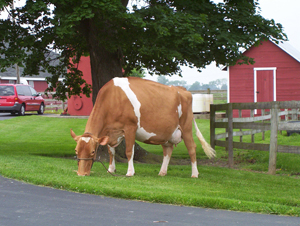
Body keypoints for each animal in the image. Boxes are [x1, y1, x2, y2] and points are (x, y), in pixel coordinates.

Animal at [70, 77, 216, 177]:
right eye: (76, 151)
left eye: (92, 152)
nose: (81, 174)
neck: (113, 98)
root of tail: (183, 89)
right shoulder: (110, 132)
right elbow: (111, 151)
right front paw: (111, 170)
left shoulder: (130, 127)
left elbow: (129, 151)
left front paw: (130, 172)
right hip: (167, 132)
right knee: (168, 150)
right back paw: (162, 172)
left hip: (186, 127)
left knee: (192, 148)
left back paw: (194, 174)